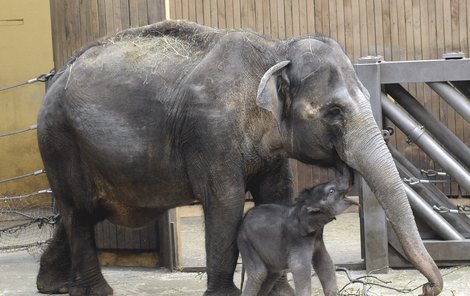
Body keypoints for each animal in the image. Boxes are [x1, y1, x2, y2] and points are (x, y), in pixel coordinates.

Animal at [35, 19, 440, 294]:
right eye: (334, 113)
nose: (426, 288)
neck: (276, 50)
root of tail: (56, 75)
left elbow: (277, 194)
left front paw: (280, 291)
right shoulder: (211, 131)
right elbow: (226, 202)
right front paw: (227, 294)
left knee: (81, 212)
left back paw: (55, 286)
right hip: (59, 142)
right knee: (79, 212)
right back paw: (93, 291)